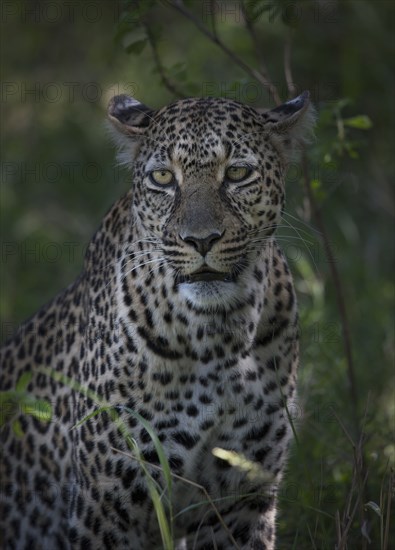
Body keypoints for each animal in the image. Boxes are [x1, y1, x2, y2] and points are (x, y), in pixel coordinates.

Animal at [0, 89, 316, 548]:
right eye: (164, 178)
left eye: (237, 173)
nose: (201, 240)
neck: (220, 337)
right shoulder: (106, 506)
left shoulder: (242, 500)